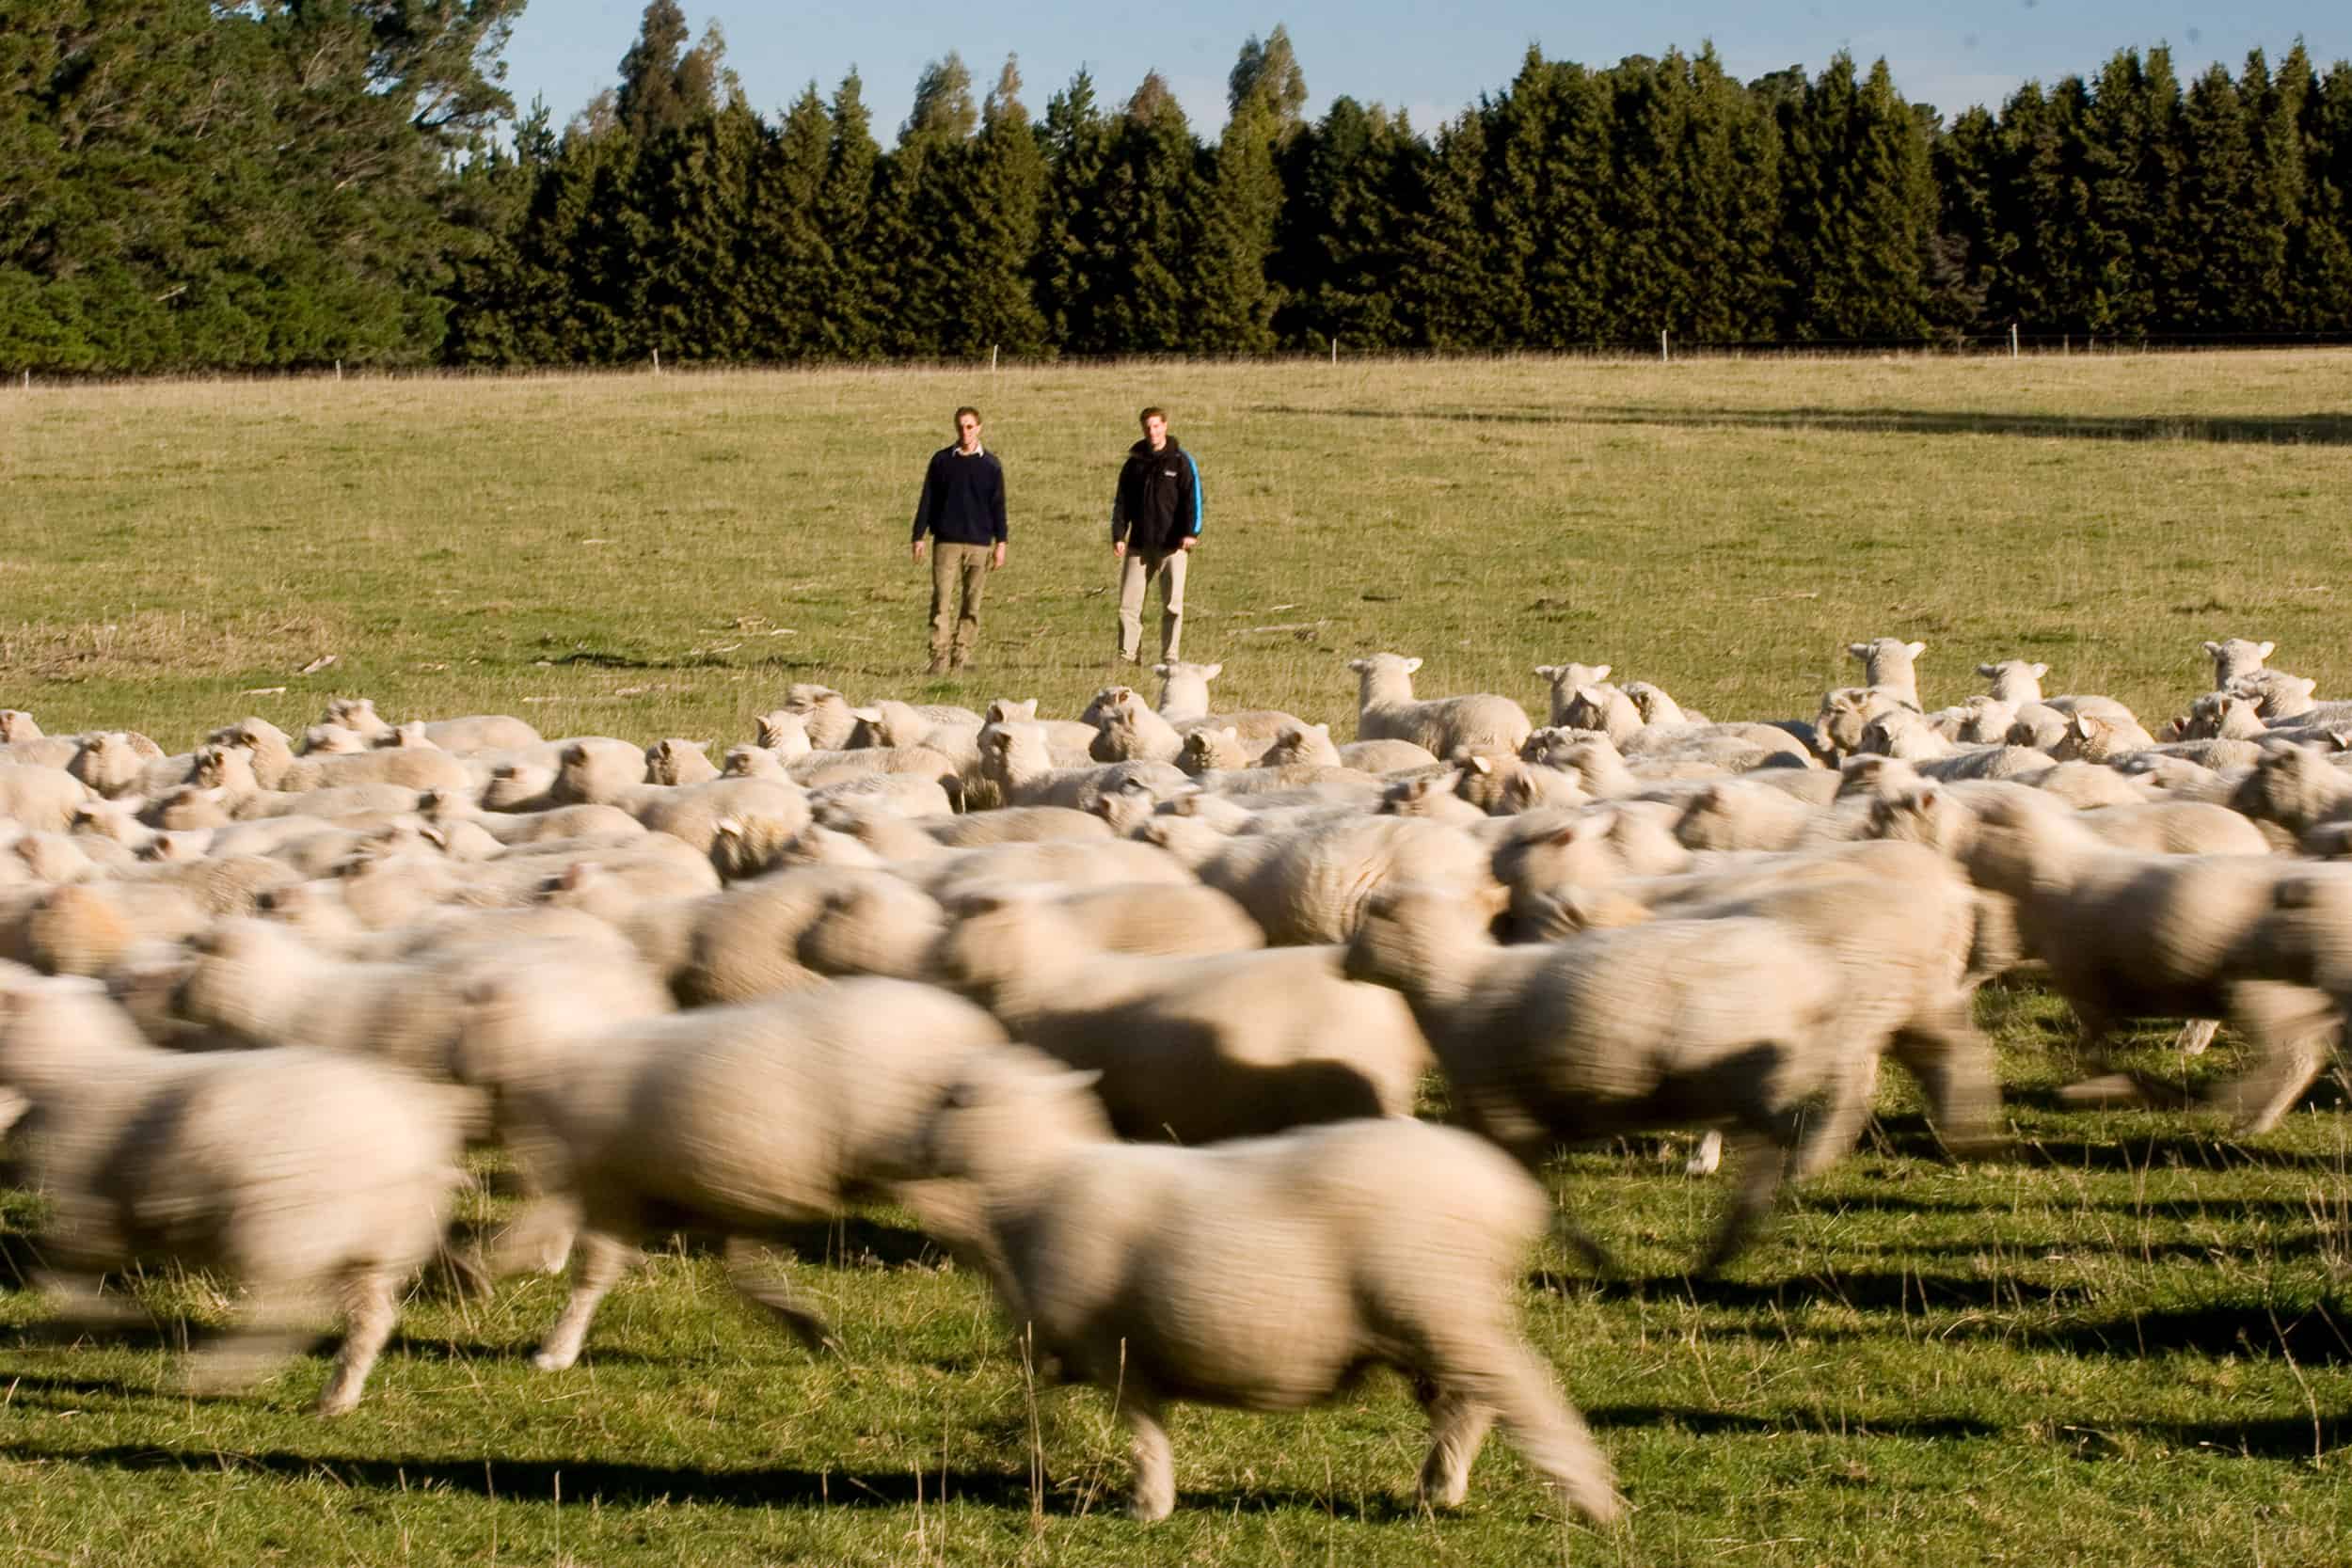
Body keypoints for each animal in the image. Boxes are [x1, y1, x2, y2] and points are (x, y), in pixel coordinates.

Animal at [0, 973, 472, 1419]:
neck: (76, 1070)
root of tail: (410, 1143)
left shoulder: (87, 1210)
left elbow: (60, 1275)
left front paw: (99, 1318)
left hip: (284, 1232)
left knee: (283, 1319)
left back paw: (210, 1374)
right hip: (372, 1249)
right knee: (370, 1321)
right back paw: (336, 1399)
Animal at [449, 973, 1011, 1363]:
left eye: (469, 1025)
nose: (451, 1069)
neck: (556, 1059)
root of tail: (975, 1029)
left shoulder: (614, 1190)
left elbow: (589, 1272)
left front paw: (553, 1349)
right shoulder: (730, 1196)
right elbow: (743, 1278)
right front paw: (810, 1329)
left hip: (920, 1173)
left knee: (985, 1238)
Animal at [927, 1048, 1628, 1523]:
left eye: (951, 1099)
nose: (921, 1138)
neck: (1038, 1174)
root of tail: (1510, 1193)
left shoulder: (1115, 1348)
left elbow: (1145, 1429)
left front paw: (1148, 1503)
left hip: (1436, 1302)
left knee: (1519, 1389)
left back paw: (1593, 1497)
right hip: (1429, 1321)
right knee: (1469, 1405)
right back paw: (1440, 1487)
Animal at [1355, 883, 1863, 1278]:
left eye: (1368, 920)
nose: (1343, 958)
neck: (1457, 983)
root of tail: (1820, 982)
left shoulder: (1505, 1116)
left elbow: (1537, 1200)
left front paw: (1590, 1257)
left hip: (1742, 1084)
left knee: (1773, 1146)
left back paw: (1735, 1232)